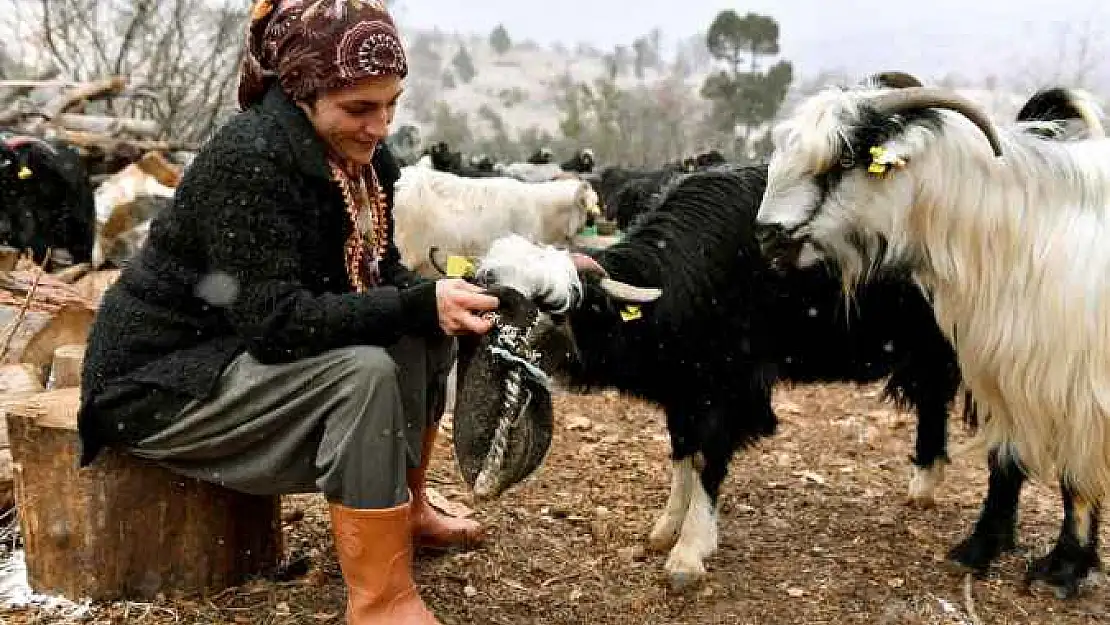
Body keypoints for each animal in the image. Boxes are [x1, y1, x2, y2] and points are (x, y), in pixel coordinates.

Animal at [754, 85, 1110, 599]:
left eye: (846, 158)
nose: (766, 235)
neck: (1026, 229)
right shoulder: (1001, 369)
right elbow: (1005, 458)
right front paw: (980, 548)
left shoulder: (1077, 383)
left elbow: (1077, 479)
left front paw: (1065, 568)